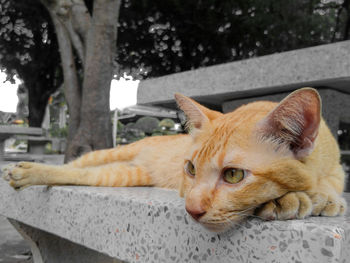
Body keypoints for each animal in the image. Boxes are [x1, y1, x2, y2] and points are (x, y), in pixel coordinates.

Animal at [2, 88, 348, 233]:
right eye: (191, 169)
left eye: (233, 175)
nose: (191, 210)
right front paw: (293, 199)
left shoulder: (335, 170)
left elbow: (331, 185)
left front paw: (320, 198)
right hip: (110, 155)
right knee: (70, 167)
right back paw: (22, 170)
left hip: (123, 174)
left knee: (82, 175)